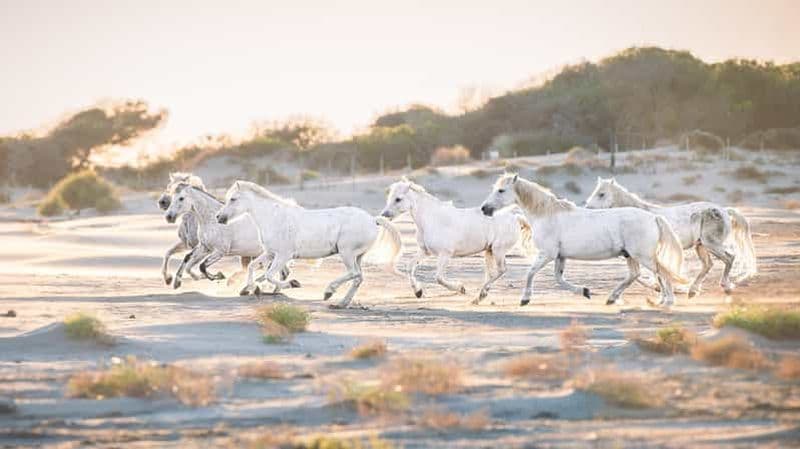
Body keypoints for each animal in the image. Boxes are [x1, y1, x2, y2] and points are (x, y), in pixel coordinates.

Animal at [163, 184, 293, 289]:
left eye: (181, 198)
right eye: (172, 198)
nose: (169, 216)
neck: (211, 220)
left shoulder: (220, 251)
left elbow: (202, 266)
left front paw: (218, 276)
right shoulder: (205, 248)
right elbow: (189, 265)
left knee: (281, 273)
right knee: (283, 273)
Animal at [215, 181, 402, 309]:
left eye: (233, 199)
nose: (219, 217)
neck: (274, 217)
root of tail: (373, 220)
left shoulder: (283, 255)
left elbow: (269, 275)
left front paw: (292, 284)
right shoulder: (270, 253)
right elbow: (253, 267)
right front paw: (253, 289)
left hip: (347, 253)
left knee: (353, 273)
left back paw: (329, 292)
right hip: (358, 256)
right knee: (358, 278)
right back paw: (341, 303)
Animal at [380, 177, 533, 304]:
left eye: (398, 199)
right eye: (390, 197)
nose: (384, 215)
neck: (431, 219)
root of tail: (516, 217)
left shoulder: (445, 254)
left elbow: (439, 277)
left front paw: (461, 288)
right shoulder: (425, 251)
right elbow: (410, 267)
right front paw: (418, 292)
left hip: (498, 250)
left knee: (501, 270)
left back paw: (479, 296)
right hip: (489, 251)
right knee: (492, 273)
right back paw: (480, 296)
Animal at [481, 173, 689, 307]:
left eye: (501, 190)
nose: (484, 208)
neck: (547, 215)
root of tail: (653, 217)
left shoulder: (547, 254)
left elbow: (530, 273)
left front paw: (525, 299)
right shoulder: (560, 256)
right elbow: (559, 279)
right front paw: (585, 291)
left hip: (643, 256)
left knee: (662, 273)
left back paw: (668, 301)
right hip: (630, 255)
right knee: (636, 275)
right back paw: (613, 298)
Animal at [584, 177, 756, 297]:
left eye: (601, 194)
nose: (588, 209)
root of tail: (724, 211)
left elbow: (654, 272)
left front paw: (662, 288)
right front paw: (661, 287)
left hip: (712, 244)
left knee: (729, 258)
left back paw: (726, 286)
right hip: (701, 246)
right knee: (708, 265)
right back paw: (692, 291)